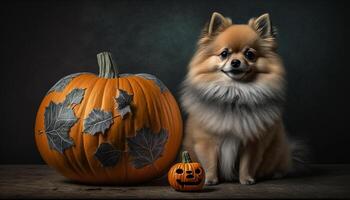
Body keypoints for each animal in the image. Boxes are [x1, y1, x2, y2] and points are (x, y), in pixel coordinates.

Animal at [182, 12, 296, 184]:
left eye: (249, 54)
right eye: (224, 54)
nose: (235, 62)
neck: (235, 92)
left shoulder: (252, 142)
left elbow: (247, 163)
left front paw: (246, 179)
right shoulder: (206, 141)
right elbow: (210, 162)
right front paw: (210, 179)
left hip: (278, 150)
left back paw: (276, 173)